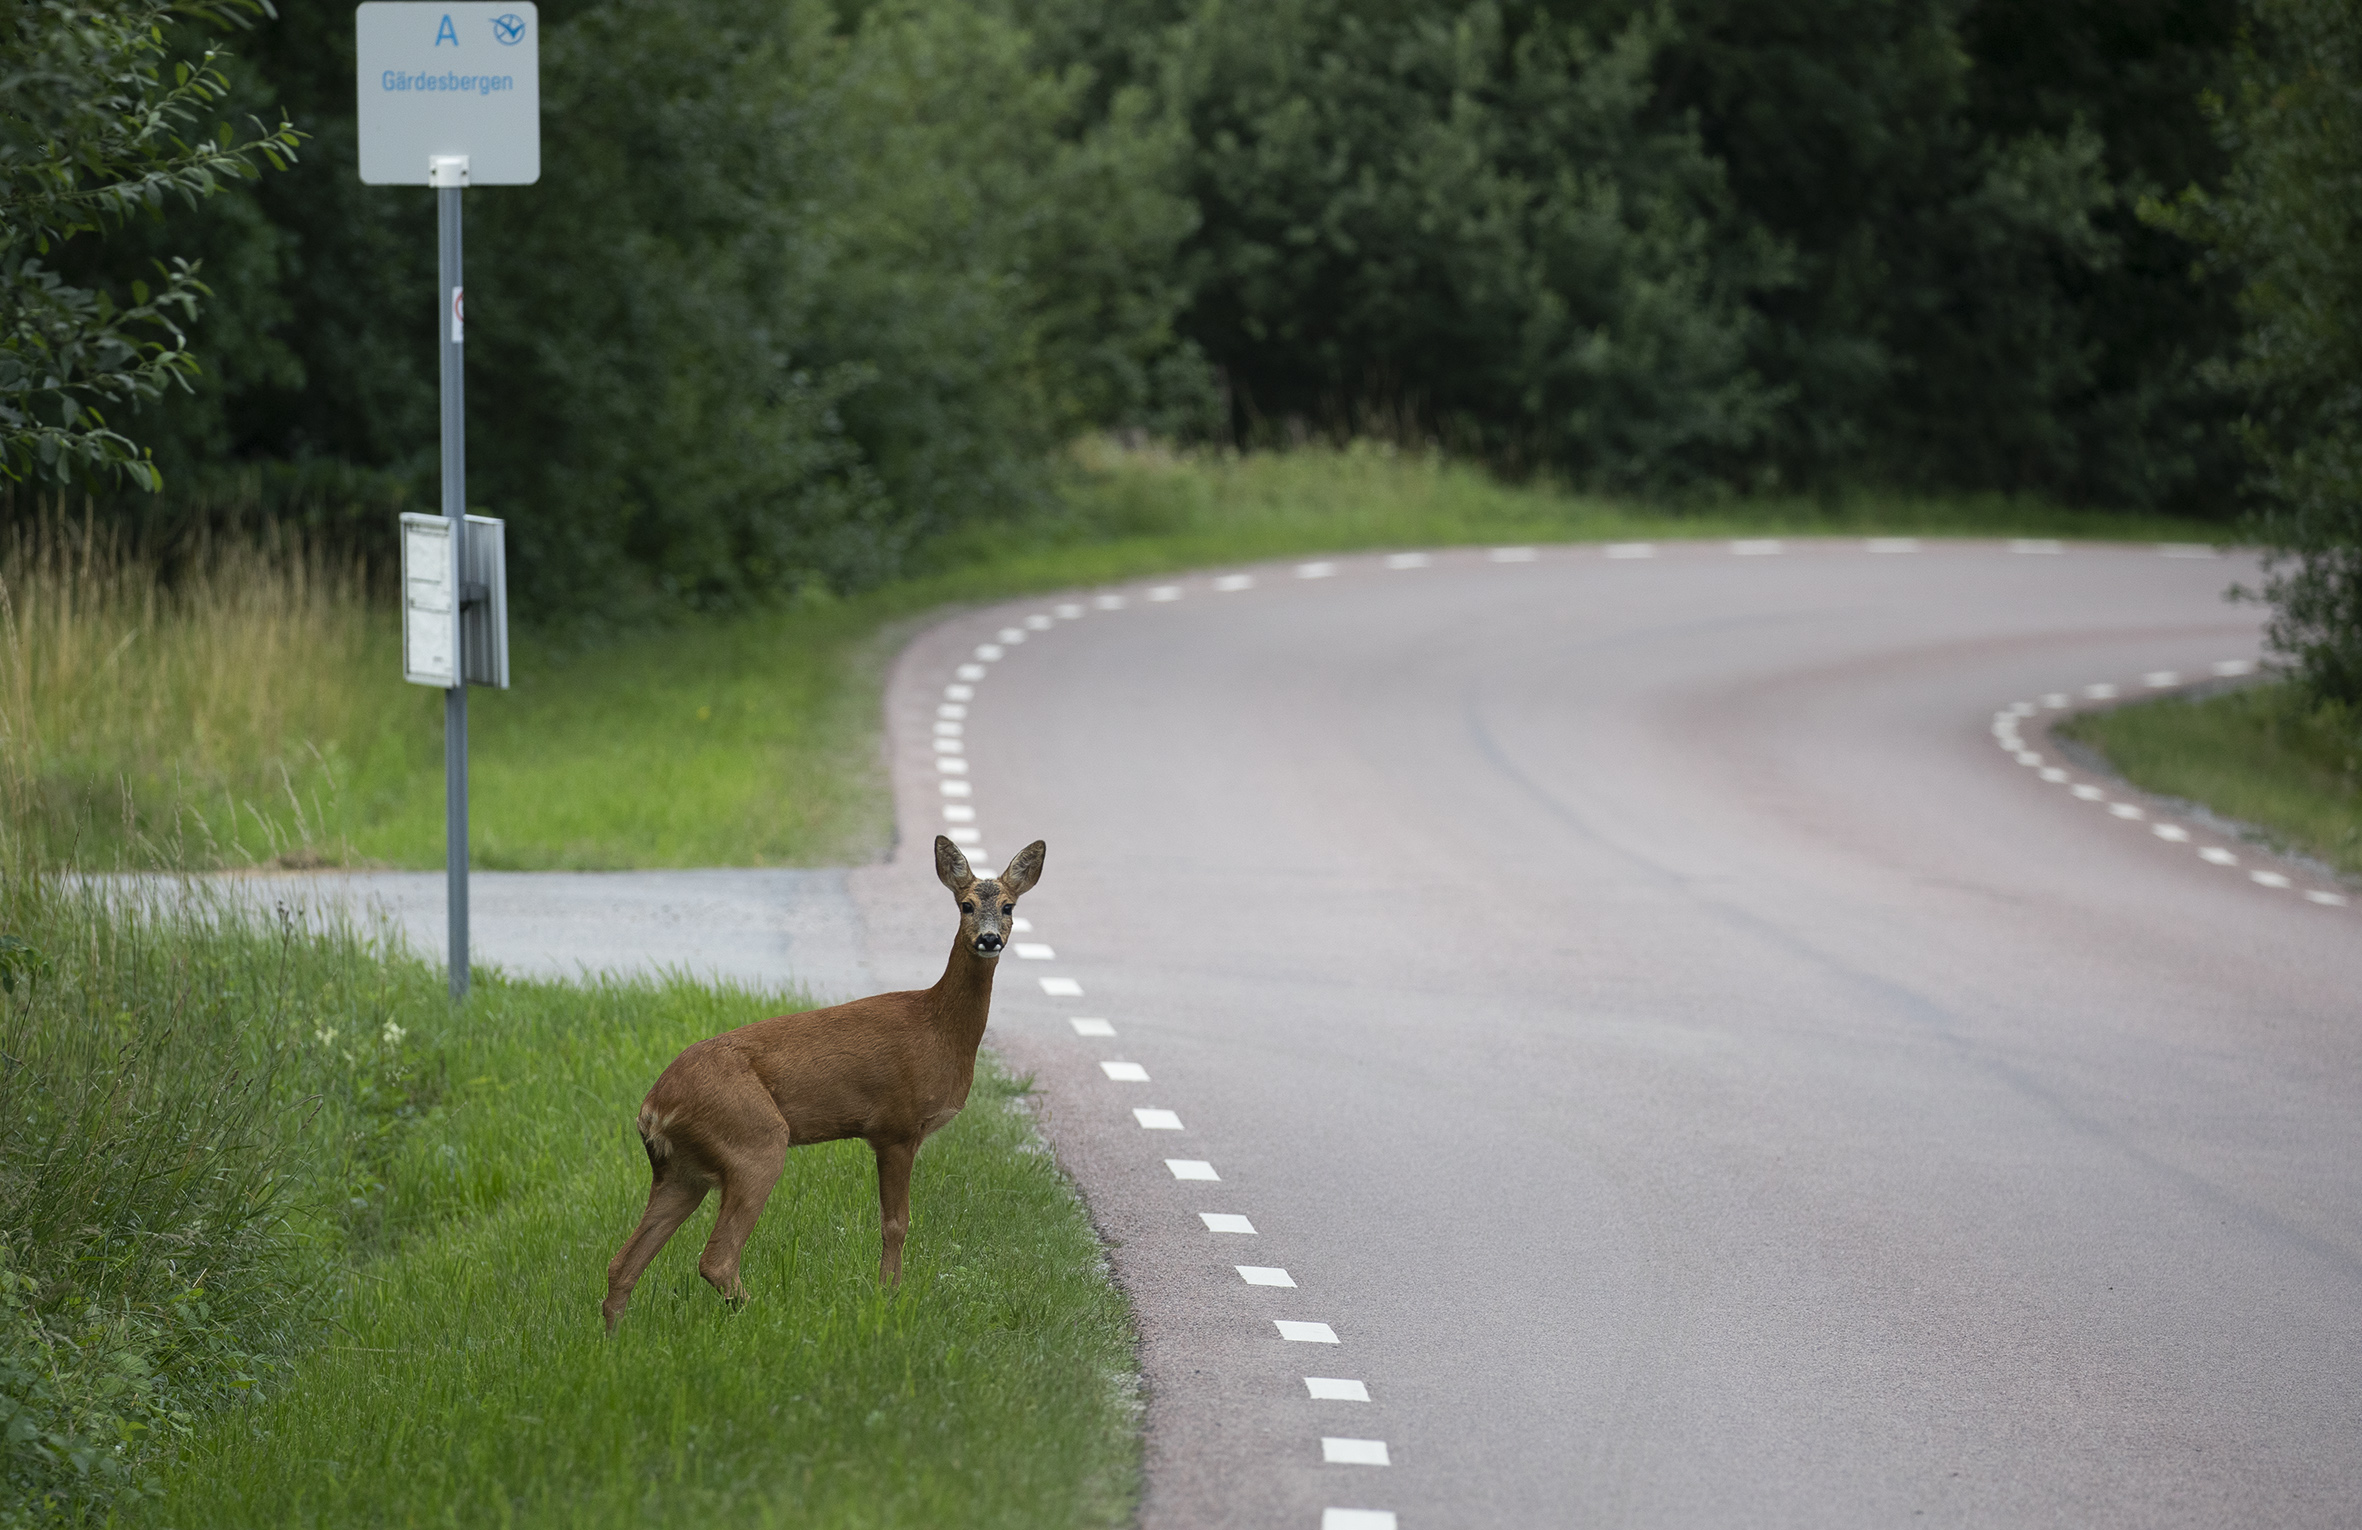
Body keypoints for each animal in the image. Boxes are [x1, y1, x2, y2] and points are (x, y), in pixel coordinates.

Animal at [602, 835, 1045, 1332]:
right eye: (965, 904)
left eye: (1009, 906)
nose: (989, 939)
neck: (939, 1029)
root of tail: (652, 1107)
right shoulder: (896, 1126)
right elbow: (896, 1222)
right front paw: (888, 1297)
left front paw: (887, 1294)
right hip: (753, 1142)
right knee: (716, 1257)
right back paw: (767, 1318)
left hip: (681, 1170)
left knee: (622, 1263)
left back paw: (615, 1338)